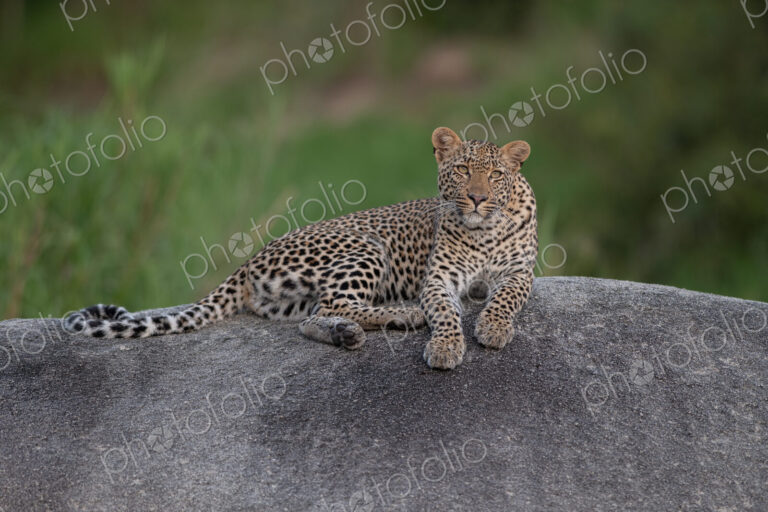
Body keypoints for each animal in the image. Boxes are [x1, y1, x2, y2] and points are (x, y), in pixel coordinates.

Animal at [63, 127, 538, 370]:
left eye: (495, 175)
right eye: (461, 170)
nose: (476, 197)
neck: (484, 228)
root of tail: (248, 260)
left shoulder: (519, 272)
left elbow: (505, 298)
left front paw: (493, 328)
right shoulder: (438, 279)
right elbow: (442, 312)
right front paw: (445, 346)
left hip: (293, 299)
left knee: (312, 316)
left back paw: (347, 334)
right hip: (364, 247)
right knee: (337, 303)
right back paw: (400, 316)